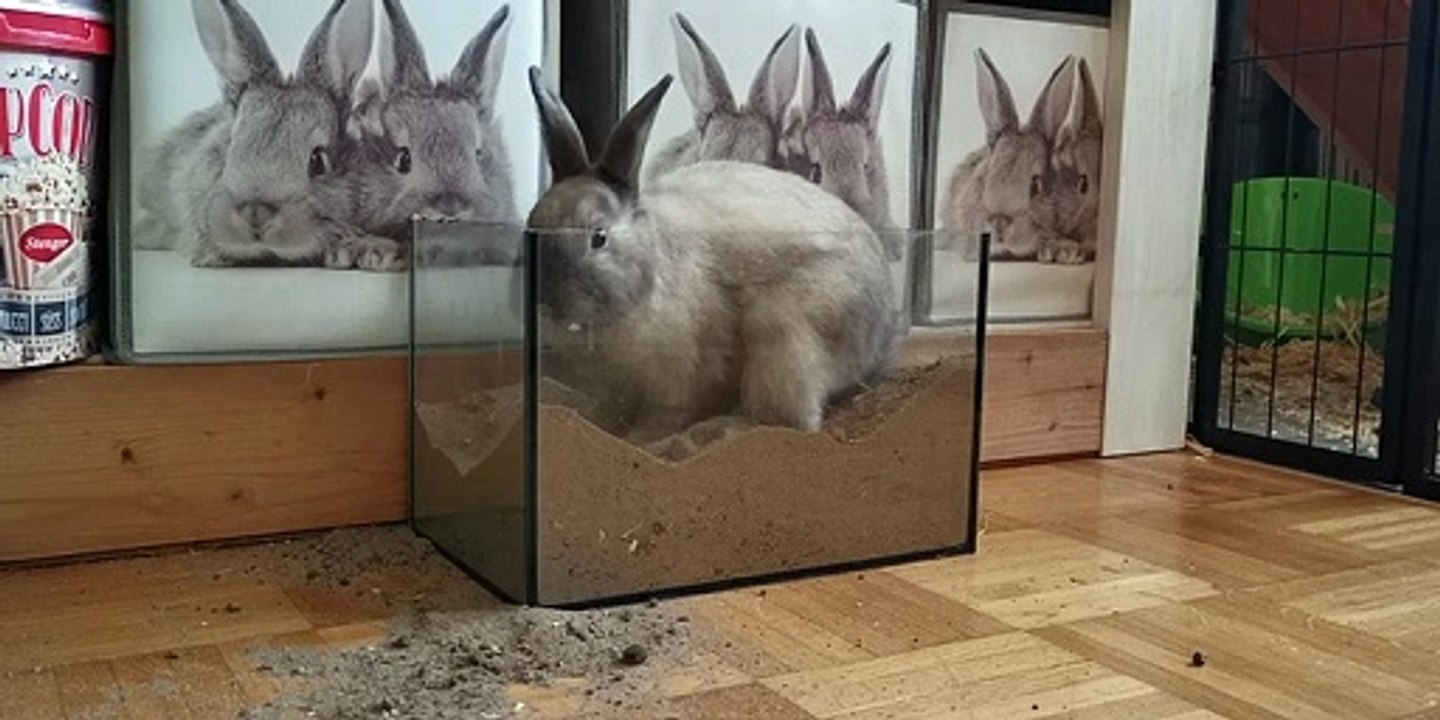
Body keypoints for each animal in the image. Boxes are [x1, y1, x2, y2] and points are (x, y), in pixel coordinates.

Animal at [525, 66, 900, 443]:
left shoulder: (683, 377)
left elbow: (666, 415)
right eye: (530, 224)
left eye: (599, 237)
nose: (545, 301)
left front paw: (642, 440)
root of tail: (883, 334)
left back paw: (709, 434)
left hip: (784, 335)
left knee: (788, 420)